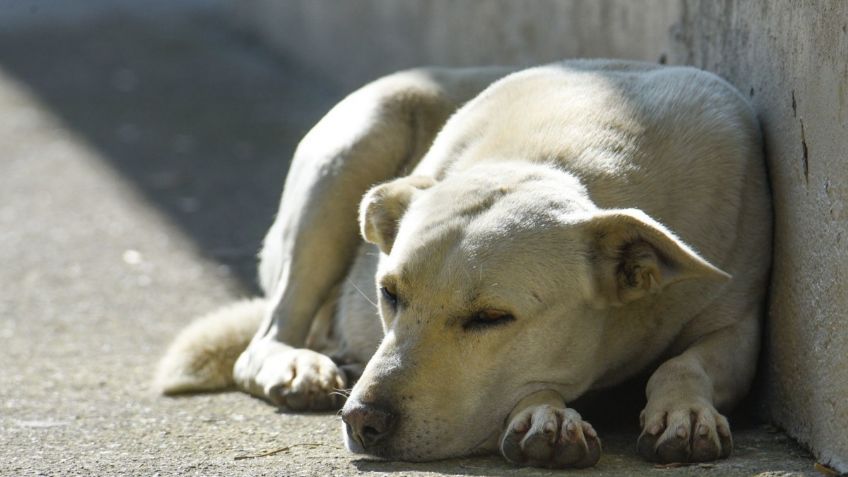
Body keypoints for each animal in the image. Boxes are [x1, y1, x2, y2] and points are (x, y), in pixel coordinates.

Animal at [156, 59, 772, 468]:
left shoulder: (739, 327)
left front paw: (685, 411)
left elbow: (684, 364)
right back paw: (295, 364)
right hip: (355, 143)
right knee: (268, 334)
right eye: (389, 294)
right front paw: (547, 415)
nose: (362, 421)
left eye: (491, 319)